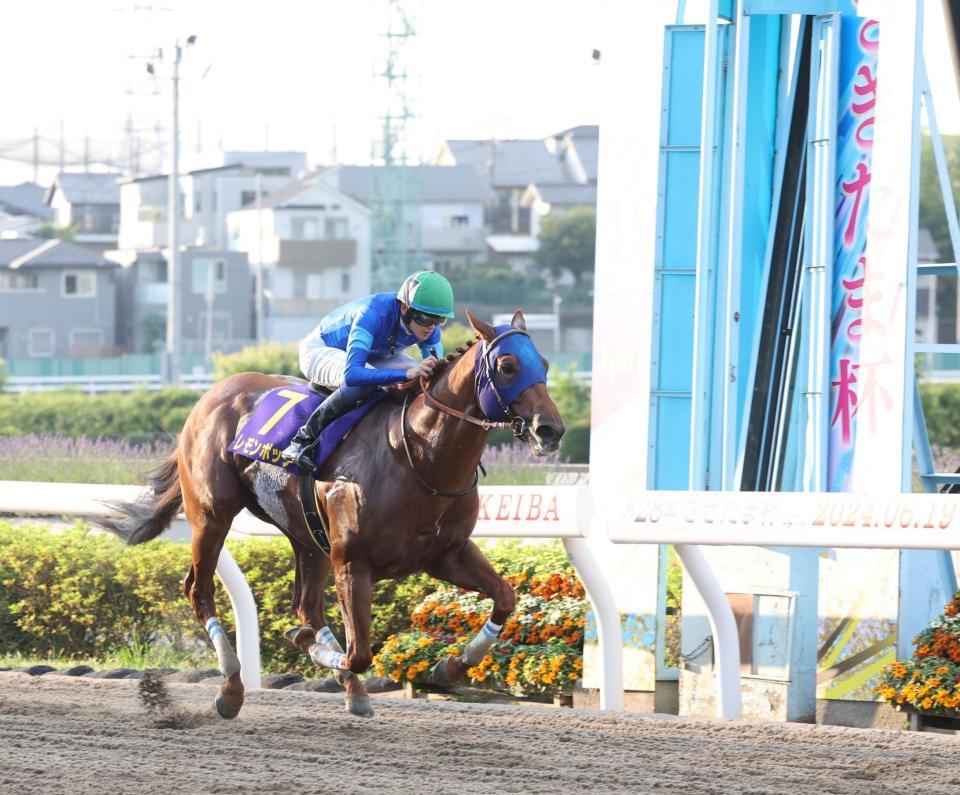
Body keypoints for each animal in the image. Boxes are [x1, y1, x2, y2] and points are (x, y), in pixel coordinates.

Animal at [99, 310, 564, 720]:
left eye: (544, 363)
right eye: (507, 366)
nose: (551, 430)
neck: (419, 456)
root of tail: (212, 393)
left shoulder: (447, 554)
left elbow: (505, 597)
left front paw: (449, 666)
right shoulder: (353, 563)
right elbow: (358, 654)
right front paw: (316, 651)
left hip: (307, 535)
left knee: (307, 607)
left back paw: (346, 687)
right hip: (212, 516)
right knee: (200, 590)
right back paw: (232, 687)